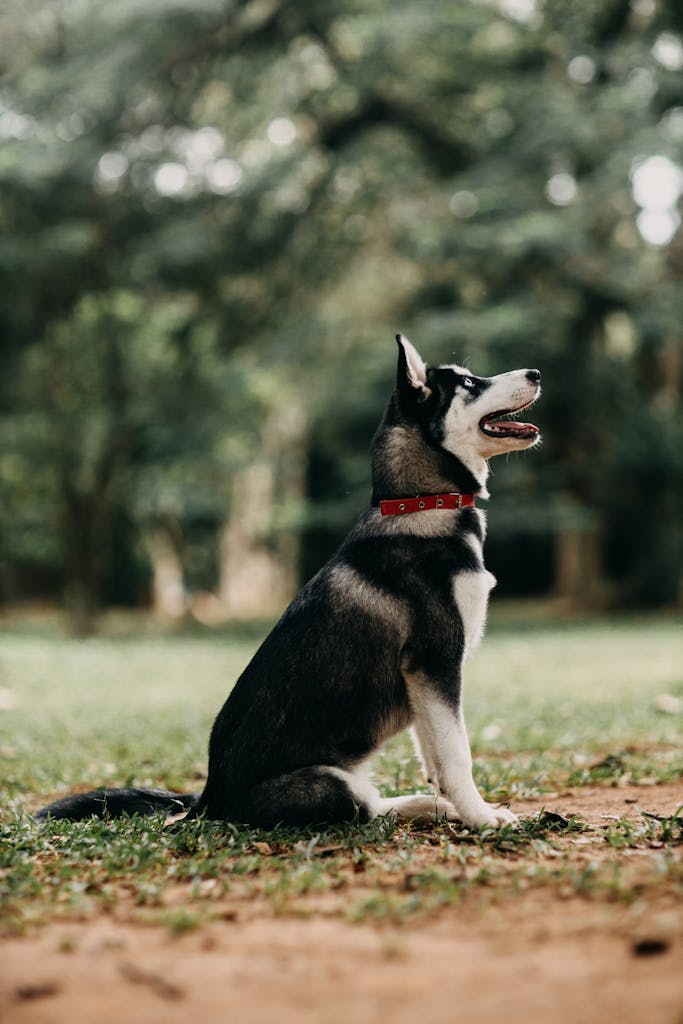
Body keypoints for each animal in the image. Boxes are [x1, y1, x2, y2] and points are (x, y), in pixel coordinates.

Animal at [37, 335, 540, 831]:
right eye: (470, 383)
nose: (535, 372)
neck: (422, 502)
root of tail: (208, 800)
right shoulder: (434, 662)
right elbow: (457, 757)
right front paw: (481, 817)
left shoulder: (425, 680)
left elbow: (436, 758)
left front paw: (461, 808)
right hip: (333, 782)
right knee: (366, 807)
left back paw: (427, 806)